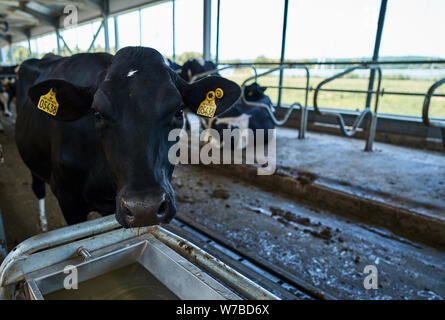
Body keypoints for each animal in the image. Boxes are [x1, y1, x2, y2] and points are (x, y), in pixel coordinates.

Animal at [15, 47, 239, 228]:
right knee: (38, 188)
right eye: (97, 113)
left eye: (179, 110)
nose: (145, 208)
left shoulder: (110, 206)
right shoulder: (68, 199)